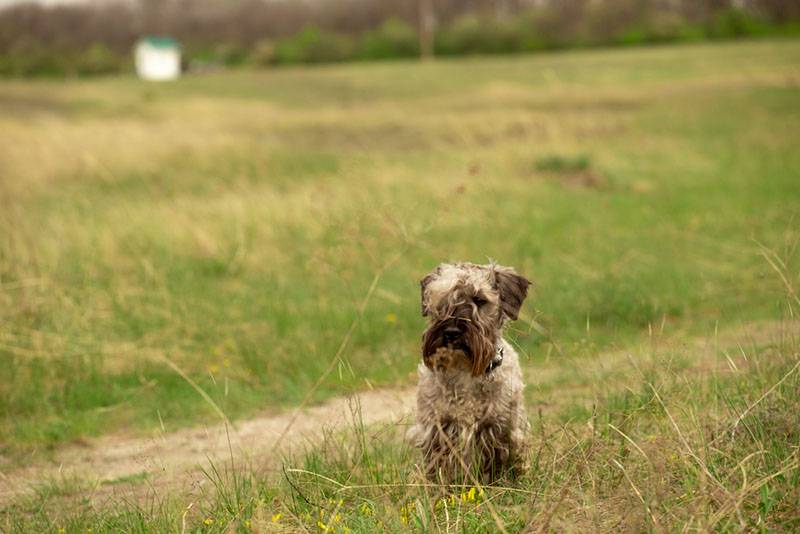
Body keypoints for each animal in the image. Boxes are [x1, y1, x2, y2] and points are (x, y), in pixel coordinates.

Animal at [412, 264, 532, 486]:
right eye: (442, 298)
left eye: (479, 299)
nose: (451, 332)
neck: (465, 370)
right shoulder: (438, 431)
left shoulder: (500, 430)